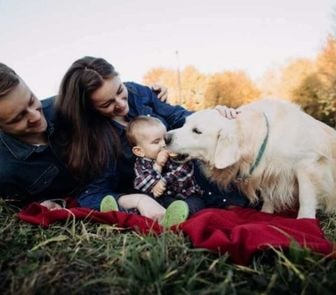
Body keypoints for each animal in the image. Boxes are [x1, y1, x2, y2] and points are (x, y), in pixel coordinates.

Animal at [166, 98, 336, 219]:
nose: (166, 137)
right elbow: (268, 197)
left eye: (197, 131)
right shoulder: (267, 172)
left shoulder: (307, 165)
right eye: (184, 124)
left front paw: (305, 221)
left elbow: (305, 198)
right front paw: (265, 213)